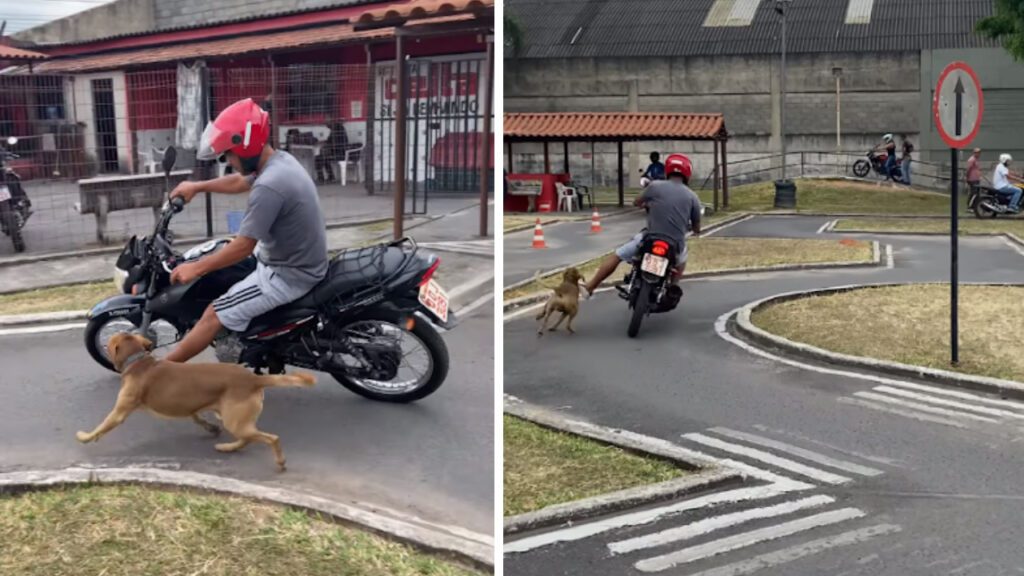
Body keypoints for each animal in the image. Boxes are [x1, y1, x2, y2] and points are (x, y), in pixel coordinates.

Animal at [75, 332, 313, 471]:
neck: (139, 361)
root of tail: (253, 379)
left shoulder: (120, 411)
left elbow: (102, 426)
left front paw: (85, 437)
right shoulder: (190, 406)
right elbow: (197, 418)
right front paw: (210, 428)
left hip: (236, 420)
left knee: (271, 438)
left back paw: (279, 461)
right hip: (234, 419)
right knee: (247, 438)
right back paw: (227, 447)